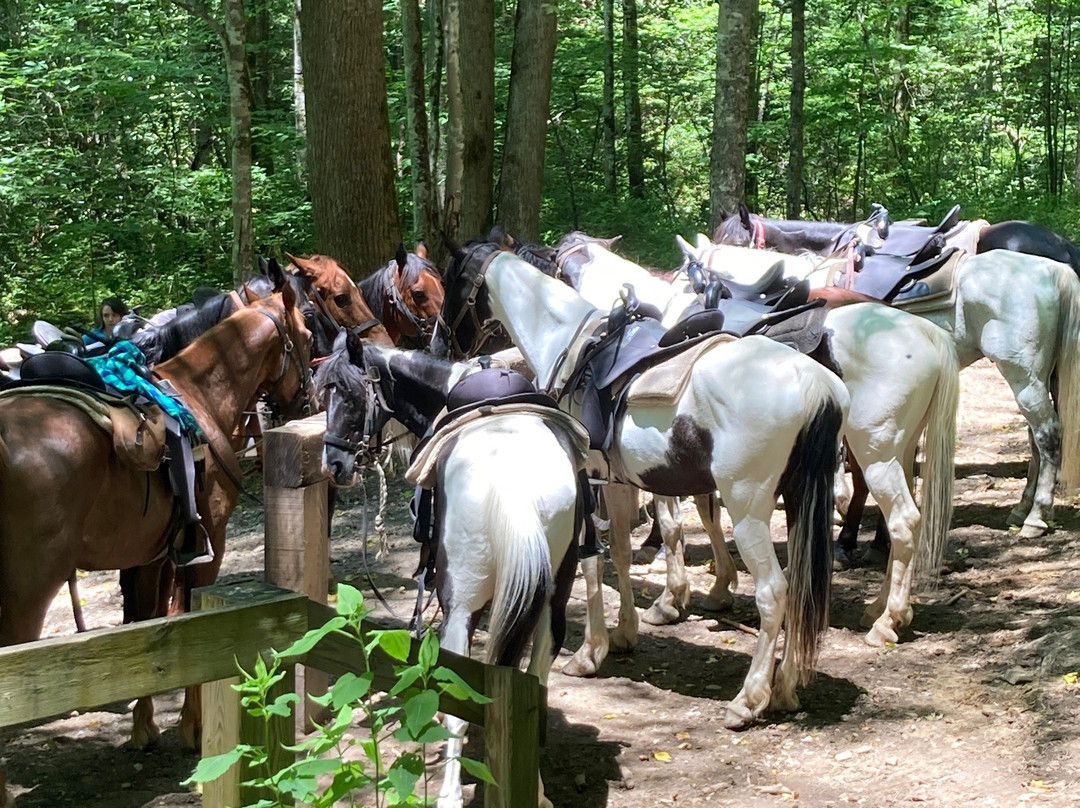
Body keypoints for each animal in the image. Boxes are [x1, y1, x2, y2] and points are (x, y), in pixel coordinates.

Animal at [0, 278, 313, 751]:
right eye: (309, 332)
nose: (308, 402)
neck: (198, 396)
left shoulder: (147, 555)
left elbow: (145, 623)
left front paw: (143, 727)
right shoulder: (207, 545)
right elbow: (188, 620)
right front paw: (192, 726)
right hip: (28, 594)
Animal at [315, 330, 583, 808]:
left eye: (350, 395)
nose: (335, 467)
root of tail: (511, 482)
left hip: (459, 606)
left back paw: (449, 795)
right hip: (554, 592)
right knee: (535, 675)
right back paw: (534, 789)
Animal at [429, 239, 851, 725]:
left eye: (452, 279)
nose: (438, 341)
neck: (570, 340)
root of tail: (816, 385)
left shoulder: (590, 483)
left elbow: (596, 560)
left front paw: (591, 652)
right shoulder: (616, 483)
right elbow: (622, 552)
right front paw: (624, 633)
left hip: (748, 510)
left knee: (774, 594)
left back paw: (748, 699)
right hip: (802, 501)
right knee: (801, 589)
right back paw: (783, 690)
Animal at [712, 208, 1080, 540]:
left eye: (734, 243)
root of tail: (1056, 267)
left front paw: (840, 506)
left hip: (1023, 374)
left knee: (1047, 433)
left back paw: (1035, 517)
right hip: (1041, 374)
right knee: (1037, 436)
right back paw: (1022, 508)